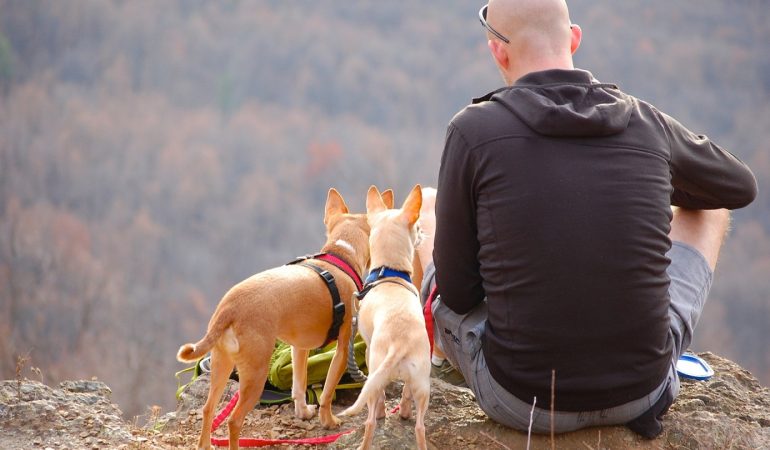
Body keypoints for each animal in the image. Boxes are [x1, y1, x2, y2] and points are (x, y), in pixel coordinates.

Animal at [180, 187, 372, 450]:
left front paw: (304, 412)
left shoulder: (299, 348)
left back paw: (206, 444)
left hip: (222, 364)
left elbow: (299, 385)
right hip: (255, 374)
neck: (340, 255)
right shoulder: (343, 348)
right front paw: (329, 421)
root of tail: (230, 308)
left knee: (208, 409)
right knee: (233, 420)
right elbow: (327, 391)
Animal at [340, 185, 432, 450]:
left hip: (376, 370)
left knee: (371, 418)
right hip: (422, 382)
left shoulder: (369, 350)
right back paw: (408, 418)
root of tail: (400, 344)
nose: (423, 234)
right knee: (419, 425)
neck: (388, 273)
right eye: (417, 228)